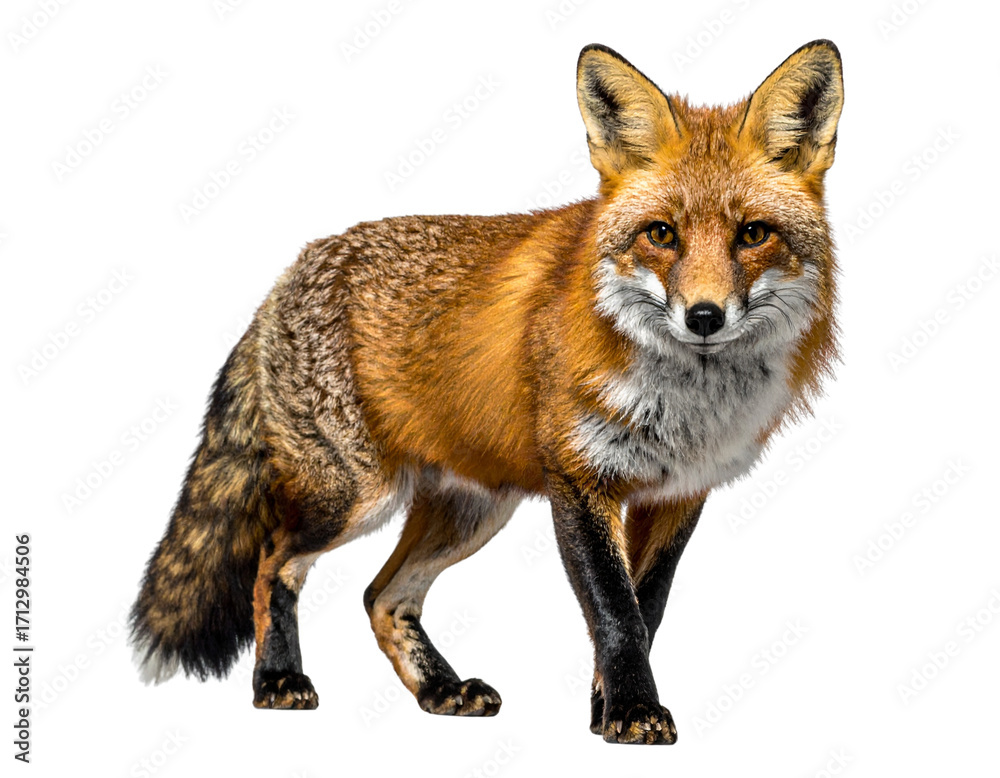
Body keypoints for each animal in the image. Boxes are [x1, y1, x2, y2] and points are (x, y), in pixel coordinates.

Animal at [130, 40, 844, 744]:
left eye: (753, 234)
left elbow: (648, 609)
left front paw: (606, 711)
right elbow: (617, 614)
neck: (684, 404)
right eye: (661, 234)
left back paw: (440, 691)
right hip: (354, 497)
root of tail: (287, 275)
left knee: (382, 597)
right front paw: (633, 711)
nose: (704, 317)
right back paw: (277, 680)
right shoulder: (579, 481)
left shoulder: (678, 494)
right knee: (273, 563)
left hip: (471, 511)